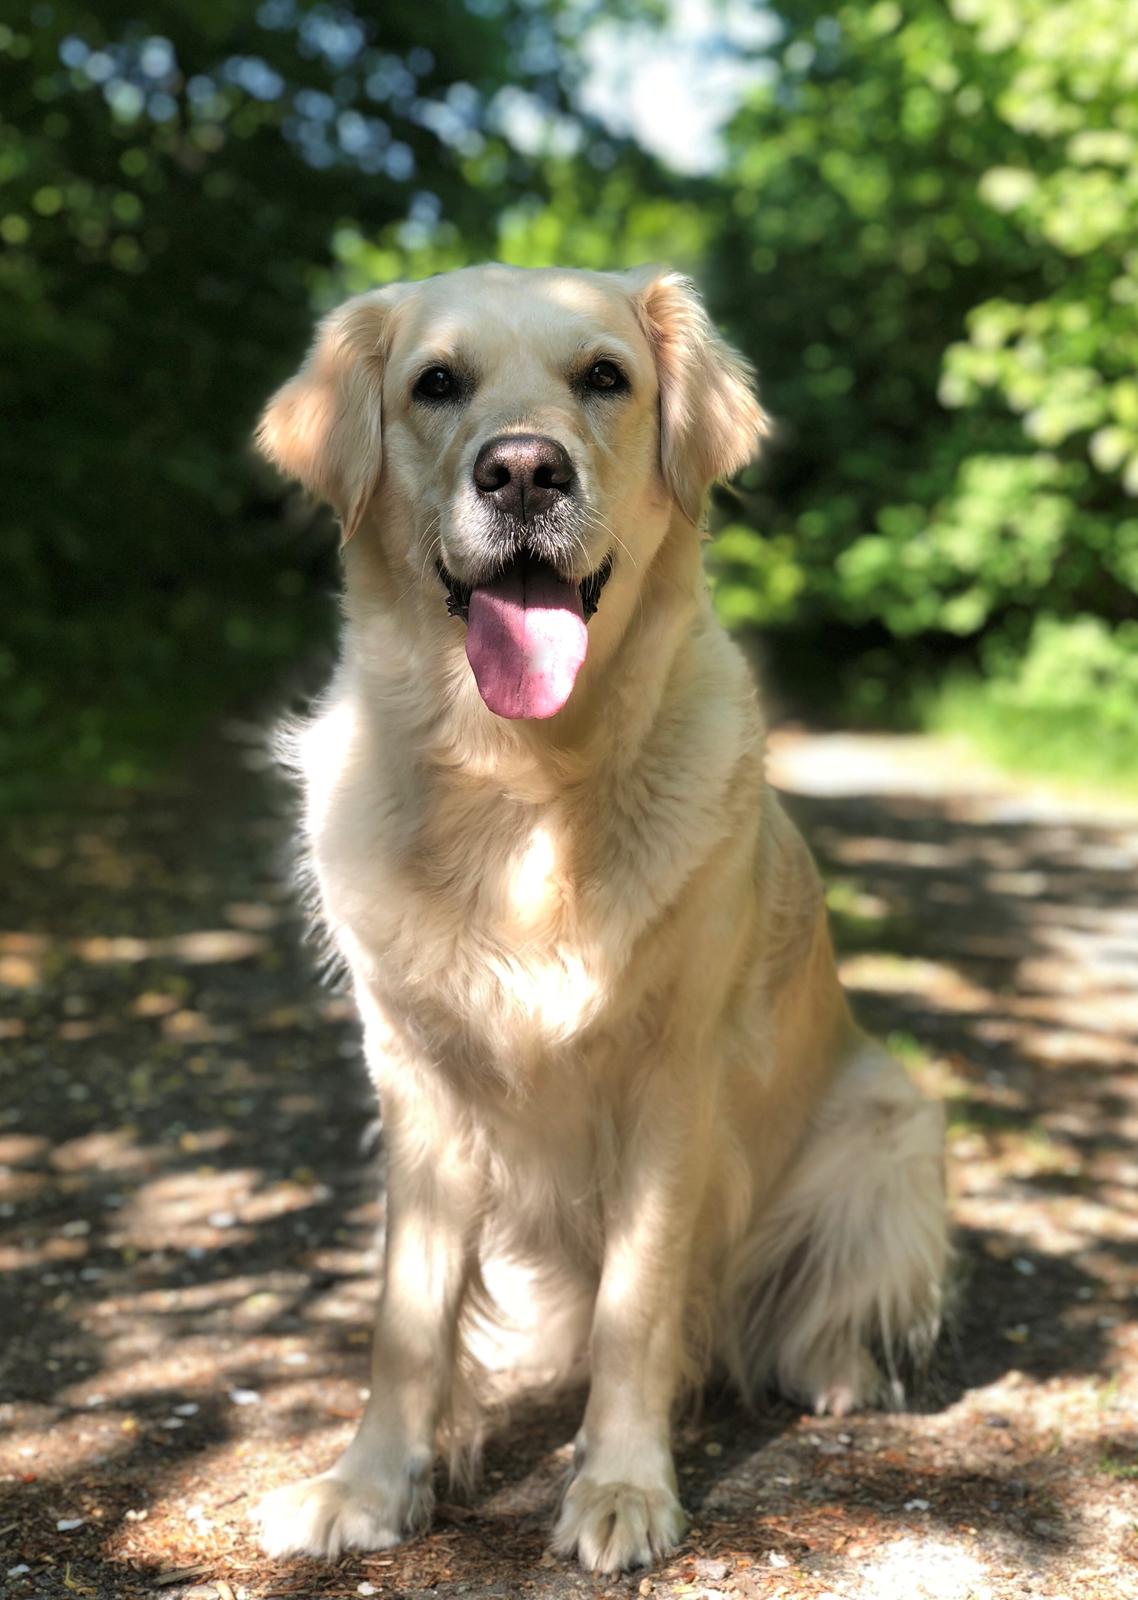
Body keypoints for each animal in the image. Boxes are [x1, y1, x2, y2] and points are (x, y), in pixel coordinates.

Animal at [254, 265, 947, 1574]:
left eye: (604, 377)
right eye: (436, 382)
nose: (524, 470)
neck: (525, 783)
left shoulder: (671, 1082)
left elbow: (638, 1306)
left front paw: (620, 1486)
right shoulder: (415, 1083)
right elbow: (405, 1320)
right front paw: (370, 1483)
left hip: (893, 1120)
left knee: (795, 1305)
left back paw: (832, 1369)